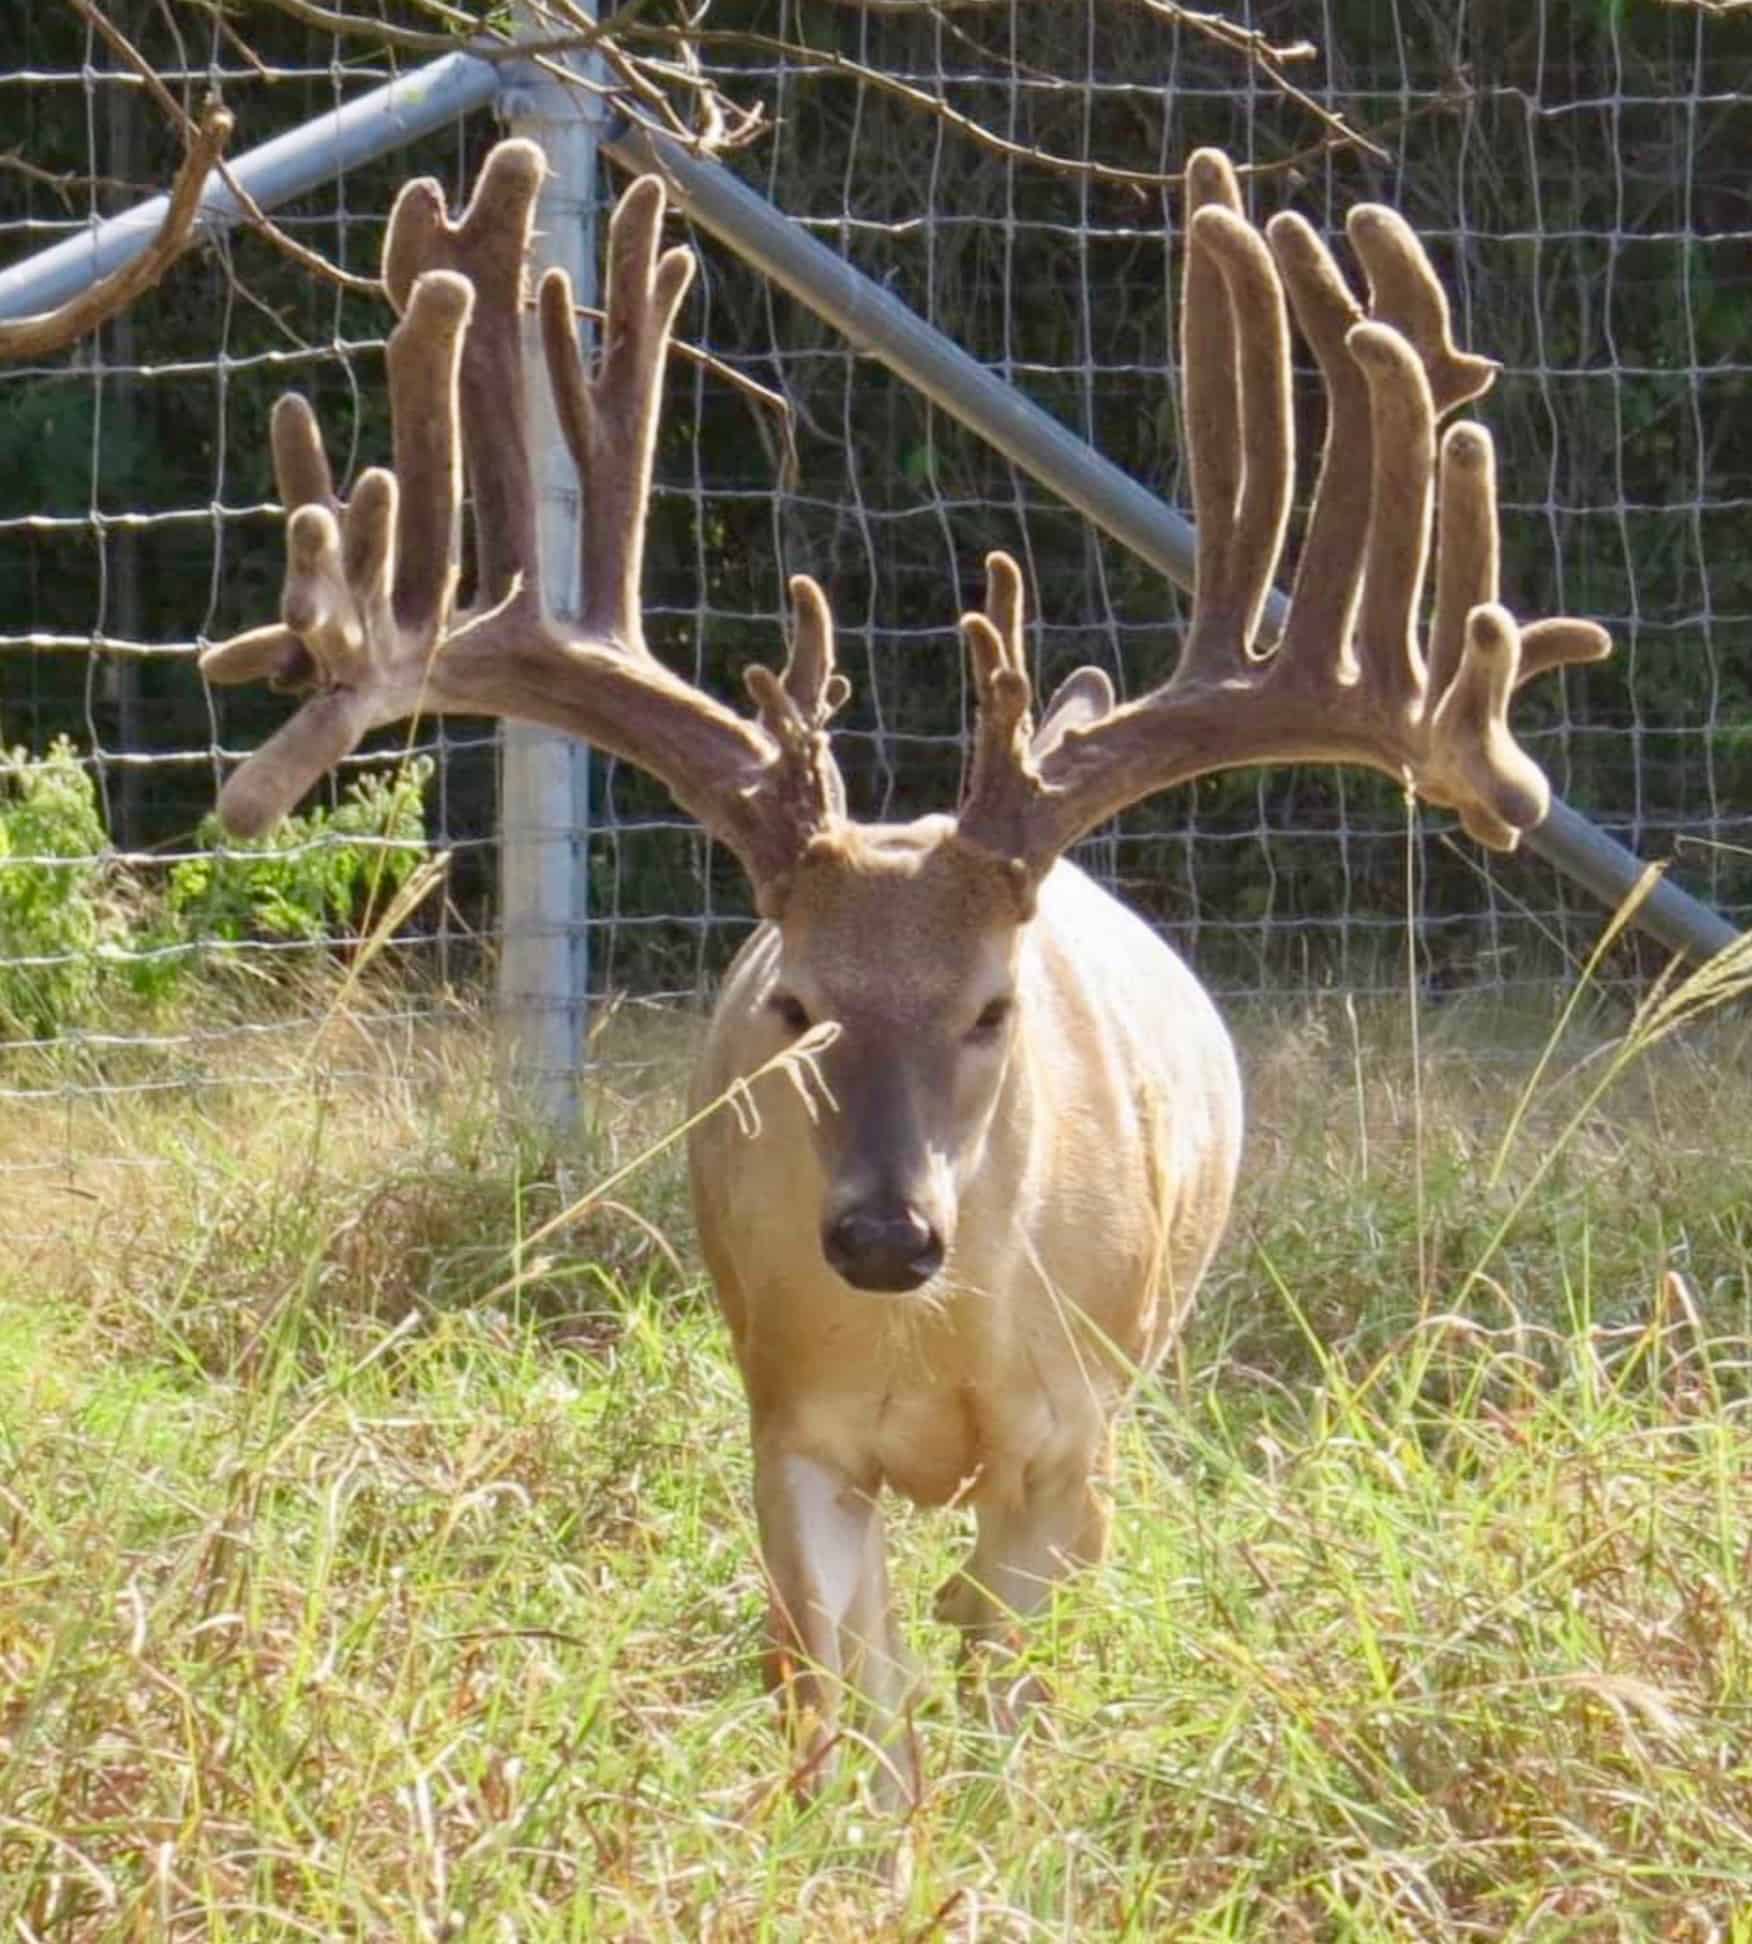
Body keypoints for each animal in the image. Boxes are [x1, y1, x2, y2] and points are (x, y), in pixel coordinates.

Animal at [193, 138, 1610, 1804]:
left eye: (993, 1004)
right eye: (796, 1002)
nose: (881, 1233)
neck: (935, 1344)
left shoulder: (1071, 1436)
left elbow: (1003, 1682)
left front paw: (999, 1817)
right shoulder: (787, 1425)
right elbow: (852, 1709)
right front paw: (870, 1823)